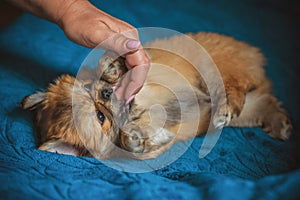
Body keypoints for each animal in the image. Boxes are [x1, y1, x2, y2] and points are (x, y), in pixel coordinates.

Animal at [19, 32, 292, 160]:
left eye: (87, 86)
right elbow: (137, 145)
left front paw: (112, 68)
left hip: (219, 71)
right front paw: (135, 138)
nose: (106, 92)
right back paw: (280, 124)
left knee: (234, 88)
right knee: (262, 102)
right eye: (100, 117)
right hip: (245, 112)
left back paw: (226, 106)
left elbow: (115, 62)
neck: (137, 109)